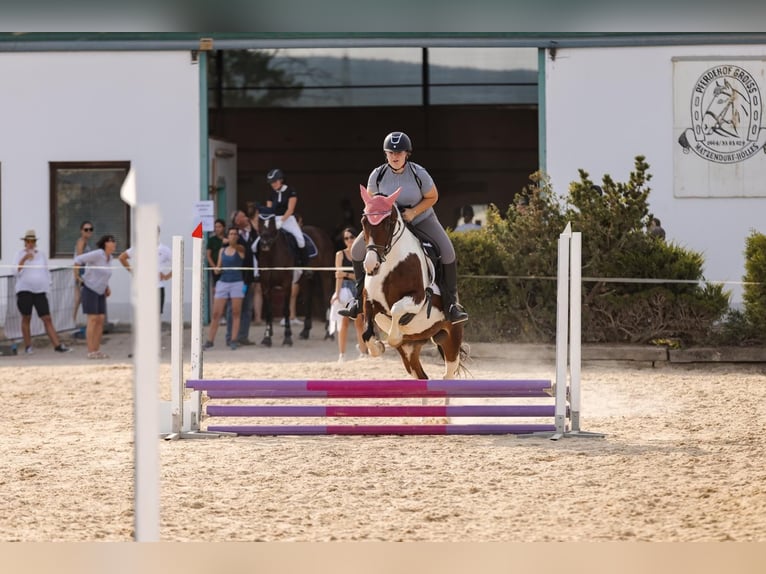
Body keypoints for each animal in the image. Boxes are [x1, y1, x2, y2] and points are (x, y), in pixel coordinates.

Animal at [358, 186, 468, 382]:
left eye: (388, 223)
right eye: (364, 222)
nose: (371, 265)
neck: (391, 264)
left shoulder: (417, 298)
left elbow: (396, 310)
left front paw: (393, 339)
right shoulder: (369, 302)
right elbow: (367, 334)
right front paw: (378, 346)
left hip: (452, 339)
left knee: (448, 375)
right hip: (411, 352)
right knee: (422, 377)